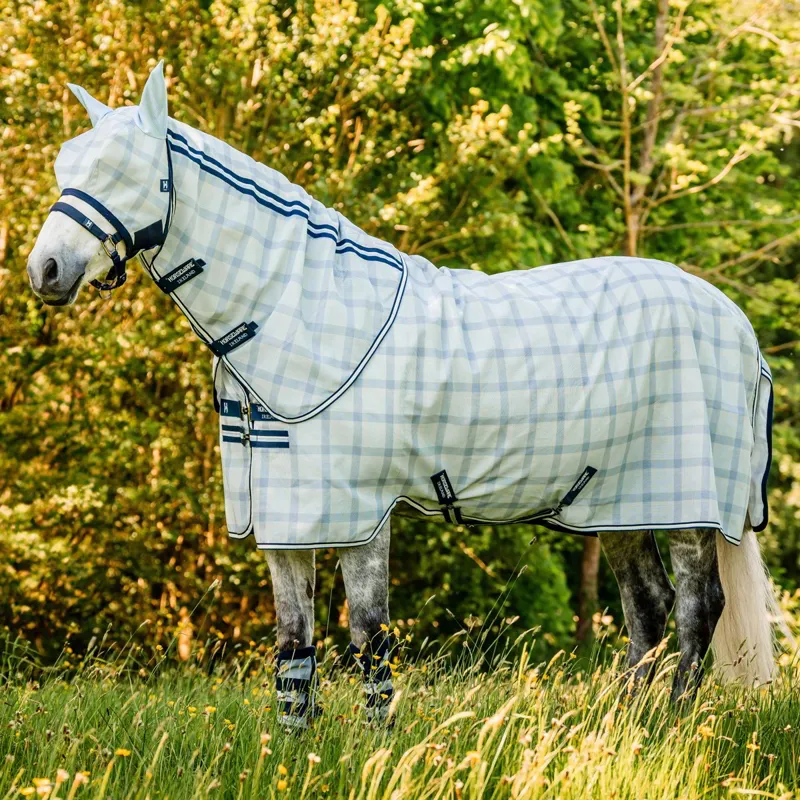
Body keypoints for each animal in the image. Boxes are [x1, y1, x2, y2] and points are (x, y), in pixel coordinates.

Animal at [27, 63, 781, 729]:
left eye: (122, 169)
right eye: (68, 166)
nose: (45, 271)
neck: (306, 307)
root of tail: (733, 322)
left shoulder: (360, 512)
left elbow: (368, 639)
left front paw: (376, 745)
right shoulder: (287, 519)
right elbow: (294, 645)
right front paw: (294, 750)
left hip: (686, 506)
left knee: (696, 609)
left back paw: (669, 727)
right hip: (616, 502)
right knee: (647, 606)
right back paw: (620, 728)